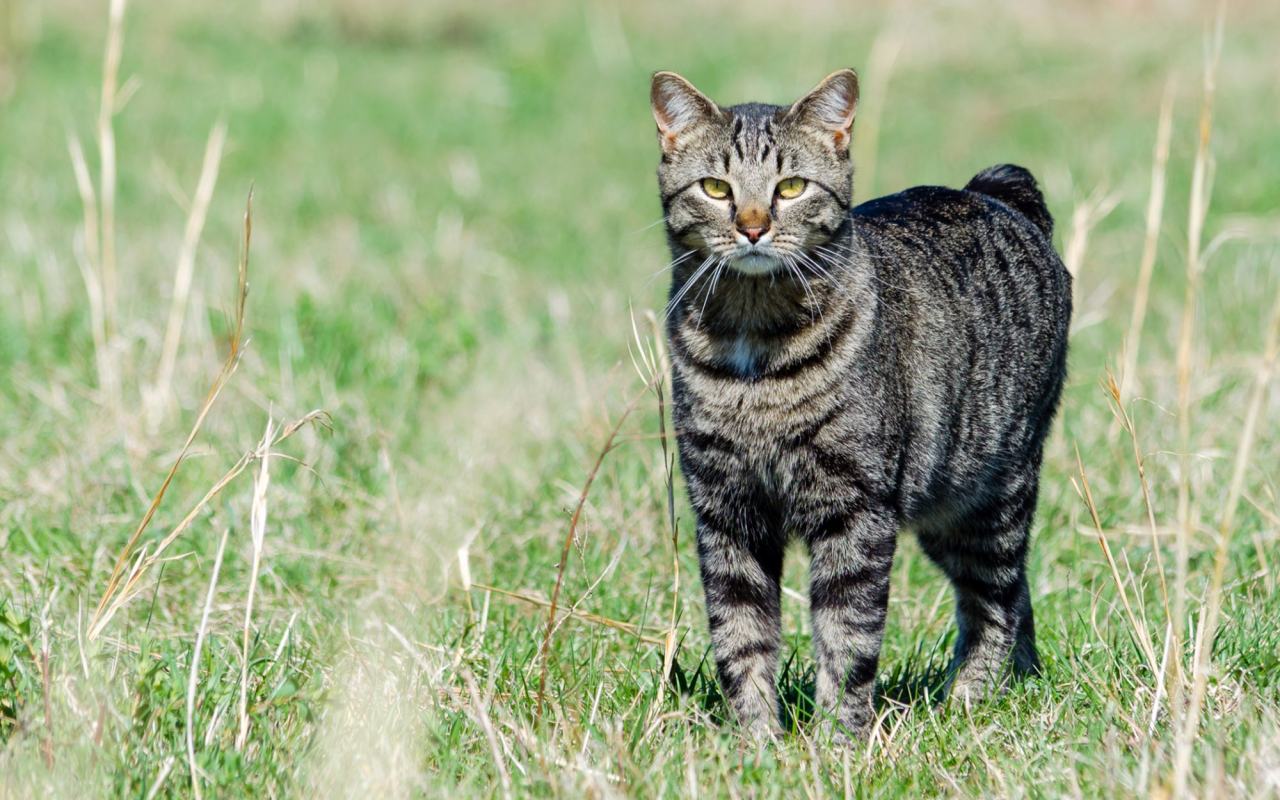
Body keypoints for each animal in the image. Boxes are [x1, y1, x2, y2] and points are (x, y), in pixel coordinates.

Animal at [650, 71, 1070, 737]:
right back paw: (1014, 684)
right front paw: (755, 741)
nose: (751, 226)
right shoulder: (726, 511)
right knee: (1017, 593)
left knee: (996, 602)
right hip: (943, 510)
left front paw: (836, 741)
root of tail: (991, 191)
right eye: (716, 188)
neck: (754, 347)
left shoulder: (856, 509)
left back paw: (968, 701)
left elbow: (847, 637)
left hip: (992, 495)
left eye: (791, 187)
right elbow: (740, 635)